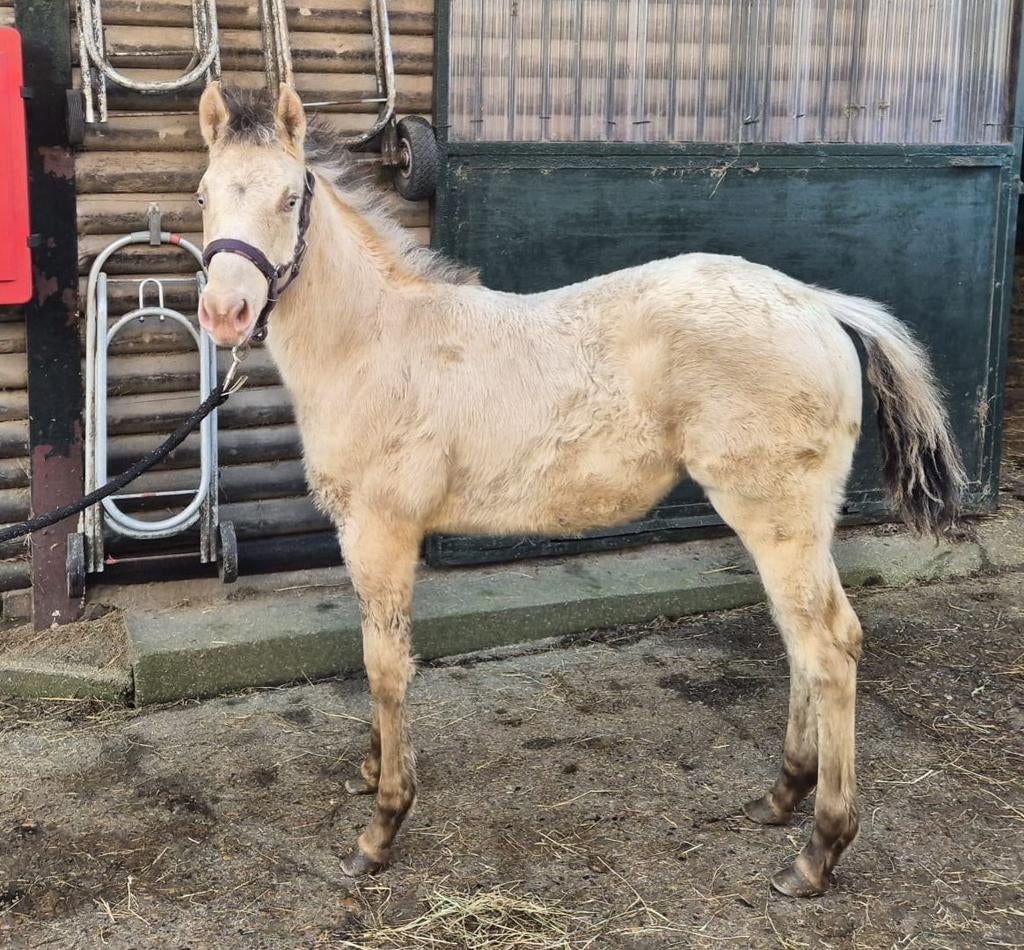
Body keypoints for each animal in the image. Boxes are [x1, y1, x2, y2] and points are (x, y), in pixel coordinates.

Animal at [194, 82, 965, 897]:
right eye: (204, 194)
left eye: (289, 198)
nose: (225, 314)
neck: (377, 341)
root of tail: (818, 303)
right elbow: (378, 654)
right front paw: (373, 771)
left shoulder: (382, 530)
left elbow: (386, 666)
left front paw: (381, 825)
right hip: (790, 523)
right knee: (801, 639)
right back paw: (782, 795)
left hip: (776, 514)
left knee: (827, 648)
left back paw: (818, 849)